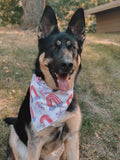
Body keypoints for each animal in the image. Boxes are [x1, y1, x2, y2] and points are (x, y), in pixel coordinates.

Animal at [4, 5, 85, 160]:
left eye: (73, 47)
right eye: (54, 46)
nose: (67, 64)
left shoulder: (72, 138)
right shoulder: (35, 143)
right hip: (14, 136)